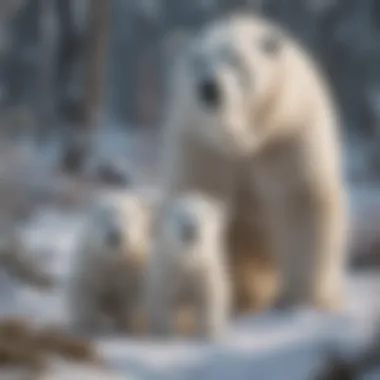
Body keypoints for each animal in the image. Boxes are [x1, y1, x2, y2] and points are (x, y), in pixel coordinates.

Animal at [67, 190, 155, 336]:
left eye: (128, 219)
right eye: (104, 218)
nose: (114, 235)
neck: (115, 260)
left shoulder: (136, 271)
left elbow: (135, 300)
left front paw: (130, 327)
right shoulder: (91, 265)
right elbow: (85, 294)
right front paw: (88, 325)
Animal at [145, 193, 229, 342]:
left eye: (203, 216)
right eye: (178, 216)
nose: (190, 228)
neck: (188, 260)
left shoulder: (205, 273)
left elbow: (209, 300)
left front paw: (210, 335)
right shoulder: (166, 274)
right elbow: (163, 303)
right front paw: (167, 335)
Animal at [157, 13, 348, 314]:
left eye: (235, 60)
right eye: (197, 61)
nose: (209, 88)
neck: (246, 137)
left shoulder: (287, 136)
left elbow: (302, 202)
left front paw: (300, 299)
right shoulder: (202, 147)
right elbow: (200, 195)